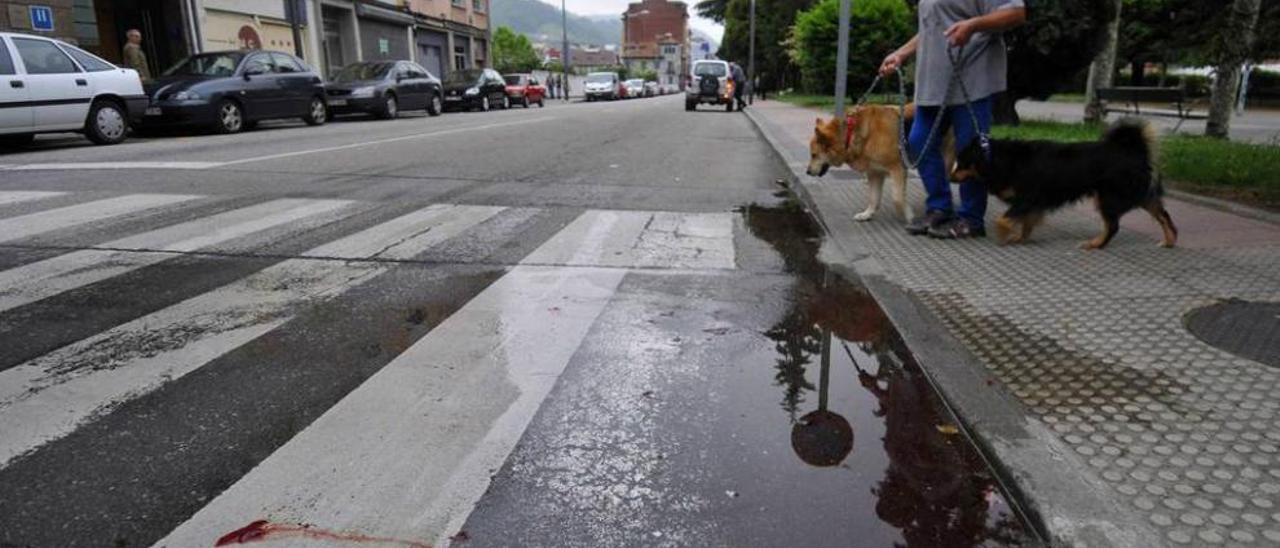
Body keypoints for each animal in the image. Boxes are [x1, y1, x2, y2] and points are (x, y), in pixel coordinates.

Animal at [808, 102, 952, 222]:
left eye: (814, 155)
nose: (807, 172)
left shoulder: (898, 169)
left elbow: (897, 198)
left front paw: (909, 215)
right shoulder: (874, 173)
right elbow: (873, 198)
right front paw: (867, 214)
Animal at [952, 119, 1177, 250]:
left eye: (961, 163)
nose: (951, 176)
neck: (994, 157)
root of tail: (1133, 150)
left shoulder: (1028, 198)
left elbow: (1004, 219)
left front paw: (1003, 234)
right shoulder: (1032, 204)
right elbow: (1026, 223)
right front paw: (1020, 238)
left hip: (1109, 196)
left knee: (1113, 226)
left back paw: (1095, 244)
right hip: (1140, 193)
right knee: (1163, 215)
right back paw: (1169, 240)